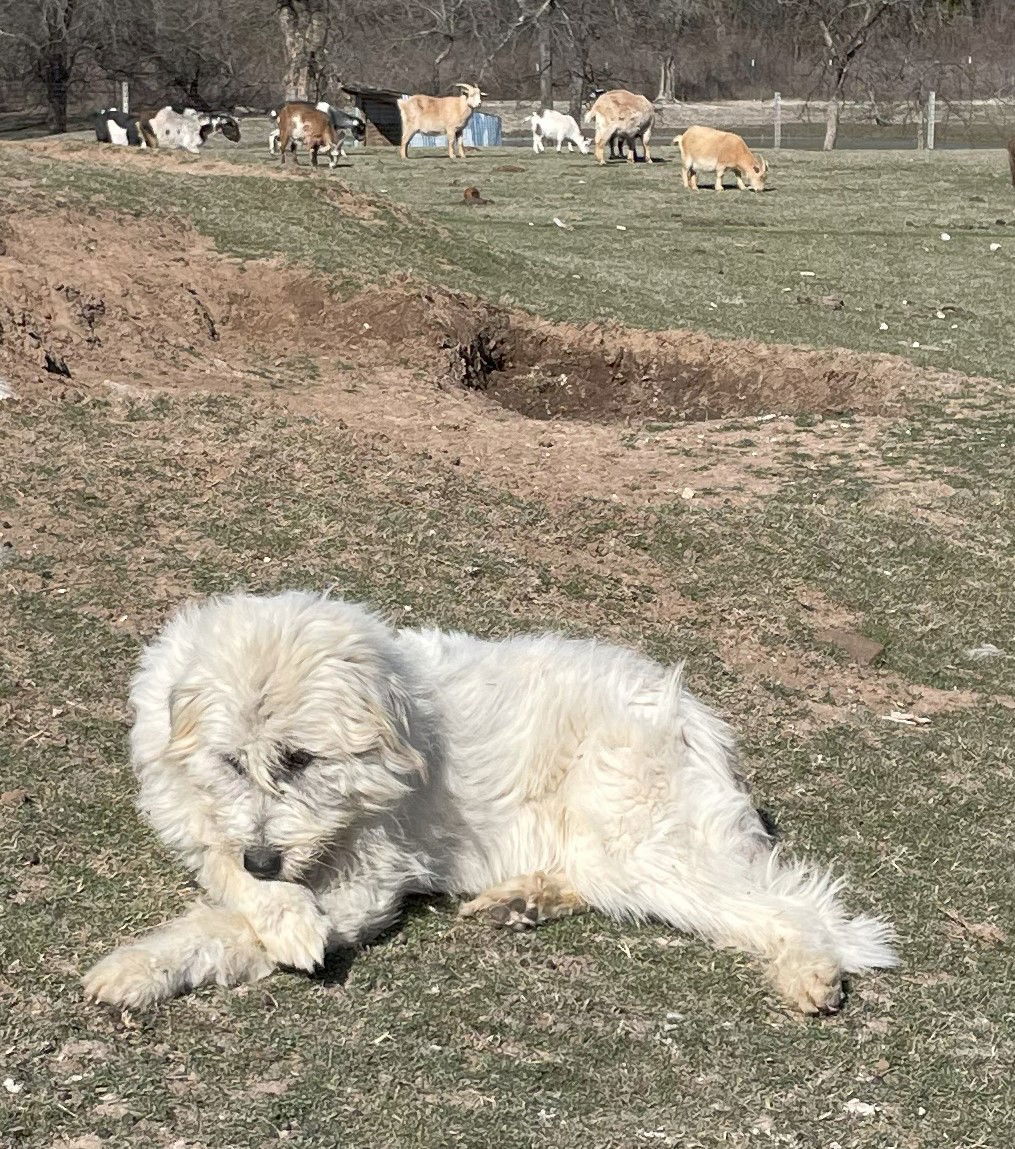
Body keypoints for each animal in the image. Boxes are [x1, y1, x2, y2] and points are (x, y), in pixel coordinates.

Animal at [85, 592, 896, 1015]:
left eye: (302, 760)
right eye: (232, 762)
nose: (264, 855)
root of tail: (697, 713)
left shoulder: (369, 878)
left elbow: (239, 922)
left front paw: (271, 927)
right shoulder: (203, 825)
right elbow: (229, 884)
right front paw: (153, 960)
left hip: (642, 841)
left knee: (797, 902)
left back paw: (812, 968)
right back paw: (521, 900)